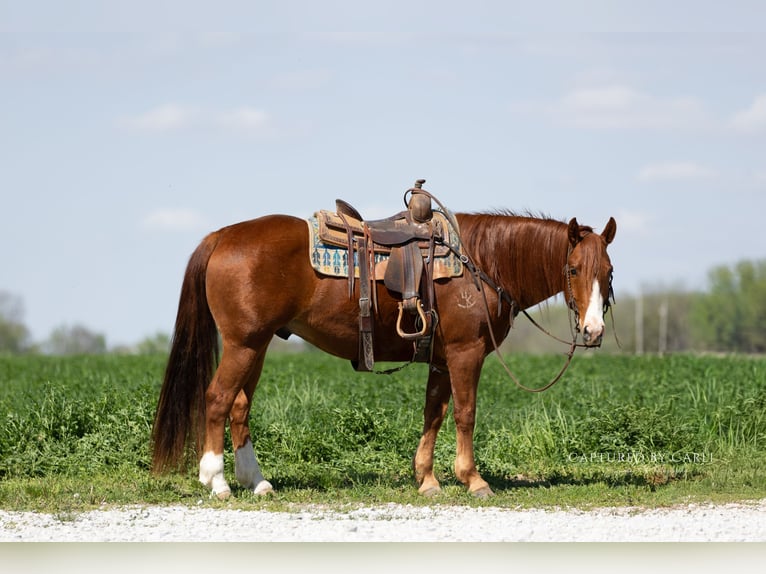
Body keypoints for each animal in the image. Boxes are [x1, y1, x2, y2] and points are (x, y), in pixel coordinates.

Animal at [151, 198, 617, 499]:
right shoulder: (465, 353)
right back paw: (217, 482)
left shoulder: (440, 359)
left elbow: (434, 413)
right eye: (573, 269)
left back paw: (258, 482)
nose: (593, 330)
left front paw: (427, 480)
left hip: (258, 346)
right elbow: (465, 414)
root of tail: (221, 236)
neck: (482, 262)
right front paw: (473, 479)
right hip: (243, 344)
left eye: (609, 271)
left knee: (239, 406)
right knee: (217, 399)